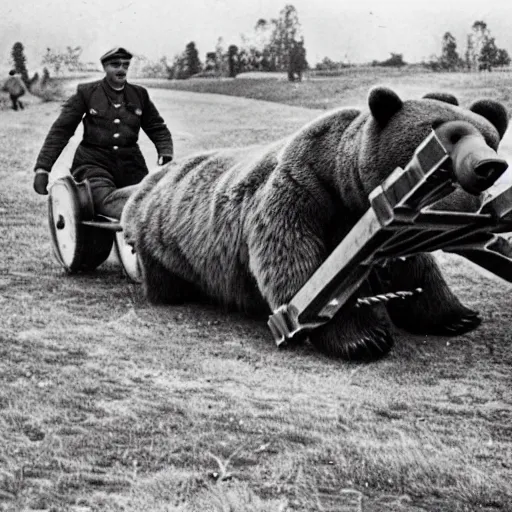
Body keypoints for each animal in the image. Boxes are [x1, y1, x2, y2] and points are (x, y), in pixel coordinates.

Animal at [121, 87, 508, 360]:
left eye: (490, 139)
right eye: (444, 138)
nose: (488, 168)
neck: (347, 187)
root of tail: (144, 186)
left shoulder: (390, 229)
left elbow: (416, 270)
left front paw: (459, 316)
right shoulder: (303, 192)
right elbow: (305, 269)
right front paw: (363, 338)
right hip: (163, 240)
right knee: (165, 279)